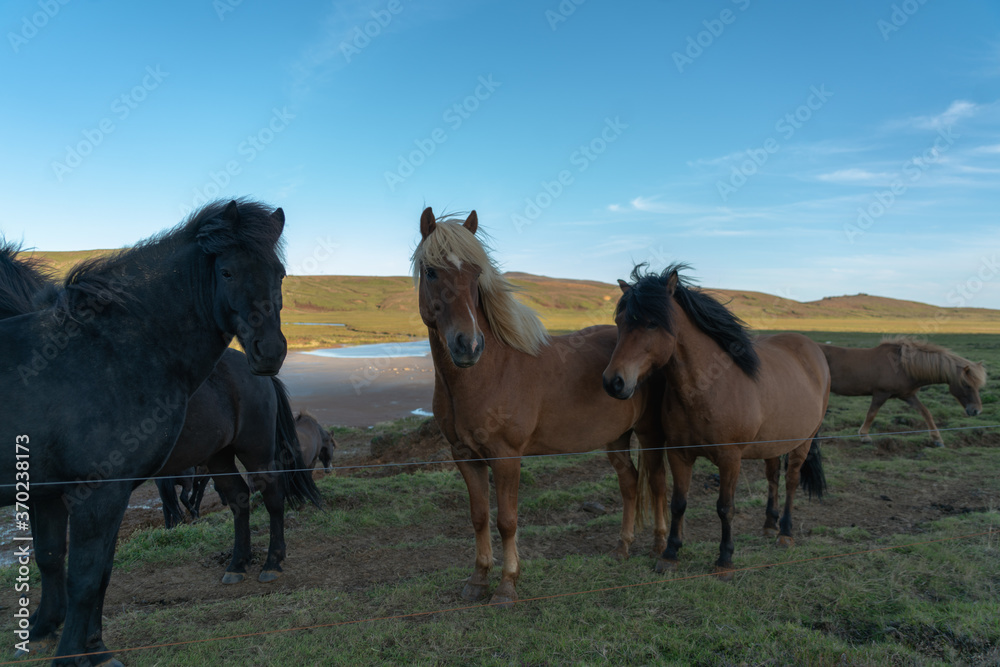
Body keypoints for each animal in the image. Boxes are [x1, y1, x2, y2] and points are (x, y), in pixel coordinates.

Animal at [0, 202, 290, 667]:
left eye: (279, 273)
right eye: (226, 272)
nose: (271, 350)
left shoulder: (95, 491)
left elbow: (85, 576)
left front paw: (69, 650)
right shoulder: (65, 491)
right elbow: (67, 564)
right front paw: (73, 642)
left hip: (255, 448)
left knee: (272, 495)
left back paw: (271, 564)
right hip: (219, 455)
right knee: (240, 499)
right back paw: (236, 565)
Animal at [410, 207, 668, 604]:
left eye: (476, 274)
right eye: (431, 271)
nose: (468, 345)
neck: (489, 373)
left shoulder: (506, 456)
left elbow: (507, 520)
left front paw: (507, 585)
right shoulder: (464, 456)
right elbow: (479, 516)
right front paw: (478, 580)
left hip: (650, 432)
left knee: (656, 483)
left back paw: (659, 547)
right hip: (616, 437)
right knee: (629, 483)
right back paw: (623, 547)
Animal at [600, 264, 828, 580]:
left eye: (652, 324)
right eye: (620, 322)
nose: (614, 382)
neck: (707, 387)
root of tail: (812, 348)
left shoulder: (730, 458)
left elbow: (725, 508)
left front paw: (725, 560)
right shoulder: (679, 454)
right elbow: (678, 503)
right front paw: (670, 555)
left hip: (803, 442)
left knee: (791, 481)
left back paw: (785, 533)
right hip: (773, 443)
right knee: (772, 477)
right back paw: (769, 525)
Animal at [820, 340, 984, 448]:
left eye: (977, 386)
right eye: (966, 385)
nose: (976, 410)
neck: (903, 367)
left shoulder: (908, 395)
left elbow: (926, 413)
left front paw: (937, 439)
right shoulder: (881, 393)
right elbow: (871, 414)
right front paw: (864, 436)